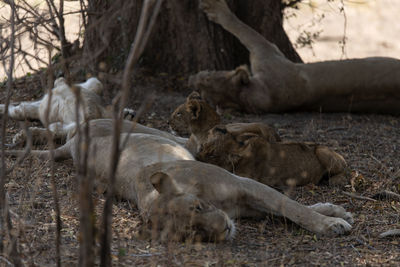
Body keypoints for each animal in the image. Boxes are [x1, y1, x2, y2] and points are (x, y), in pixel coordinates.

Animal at [6, 119, 354, 241]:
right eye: (193, 233)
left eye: (198, 209)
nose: (224, 230)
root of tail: (76, 145)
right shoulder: (244, 204)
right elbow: (286, 208)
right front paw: (332, 214)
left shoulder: (245, 185)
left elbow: (293, 208)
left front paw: (331, 221)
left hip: (140, 128)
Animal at [192, 0, 400, 114]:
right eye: (203, 95)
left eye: (208, 78)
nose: (192, 79)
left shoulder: (267, 51)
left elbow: (244, 29)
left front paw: (214, 6)